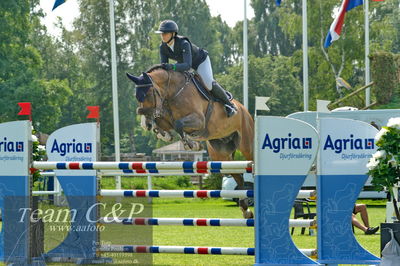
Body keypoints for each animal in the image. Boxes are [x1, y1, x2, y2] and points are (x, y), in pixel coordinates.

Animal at [126, 65, 255, 218]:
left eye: (149, 94)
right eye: (136, 96)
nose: (146, 124)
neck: (173, 93)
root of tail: (244, 110)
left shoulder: (199, 120)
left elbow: (178, 124)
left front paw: (191, 143)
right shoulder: (165, 117)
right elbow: (165, 124)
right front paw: (164, 134)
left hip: (246, 144)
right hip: (221, 154)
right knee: (239, 176)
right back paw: (246, 210)